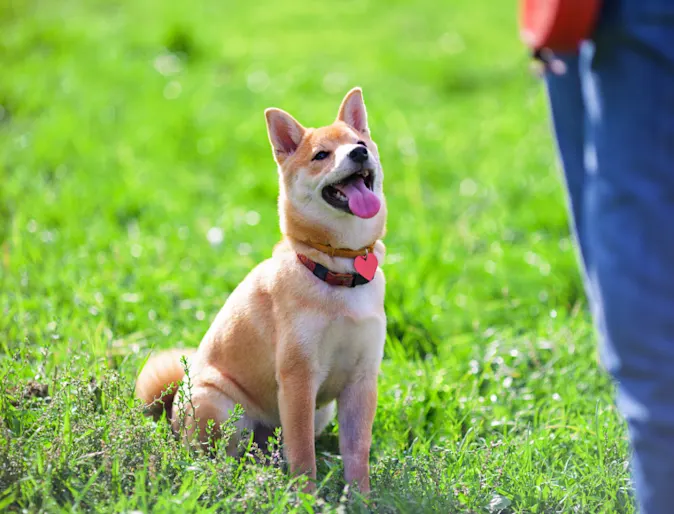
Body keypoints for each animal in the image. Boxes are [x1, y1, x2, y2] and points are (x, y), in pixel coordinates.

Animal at [135, 88, 386, 492]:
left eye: (360, 144)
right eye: (321, 155)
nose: (359, 154)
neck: (337, 269)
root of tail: (173, 411)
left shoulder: (361, 382)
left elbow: (356, 454)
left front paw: (360, 497)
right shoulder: (298, 378)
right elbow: (302, 456)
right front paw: (306, 497)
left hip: (320, 413)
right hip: (219, 406)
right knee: (215, 457)